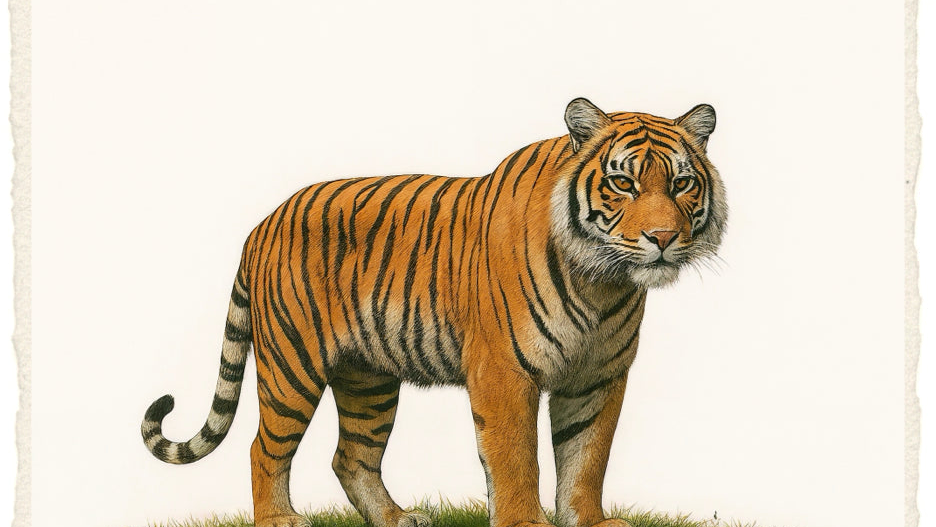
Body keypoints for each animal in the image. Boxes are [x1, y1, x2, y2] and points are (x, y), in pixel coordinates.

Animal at [141, 98, 726, 527]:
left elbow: (586, 456)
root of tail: (262, 223)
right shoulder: (503, 372)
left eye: (681, 183)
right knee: (263, 449)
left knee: (351, 456)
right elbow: (516, 458)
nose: (662, 238)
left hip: (368, 378)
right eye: (623, 182)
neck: (601, 283)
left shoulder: (599, 376)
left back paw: (399, 518)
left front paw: (590, 521)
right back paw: (280, 520)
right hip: (292, 366)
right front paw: (525, 521)